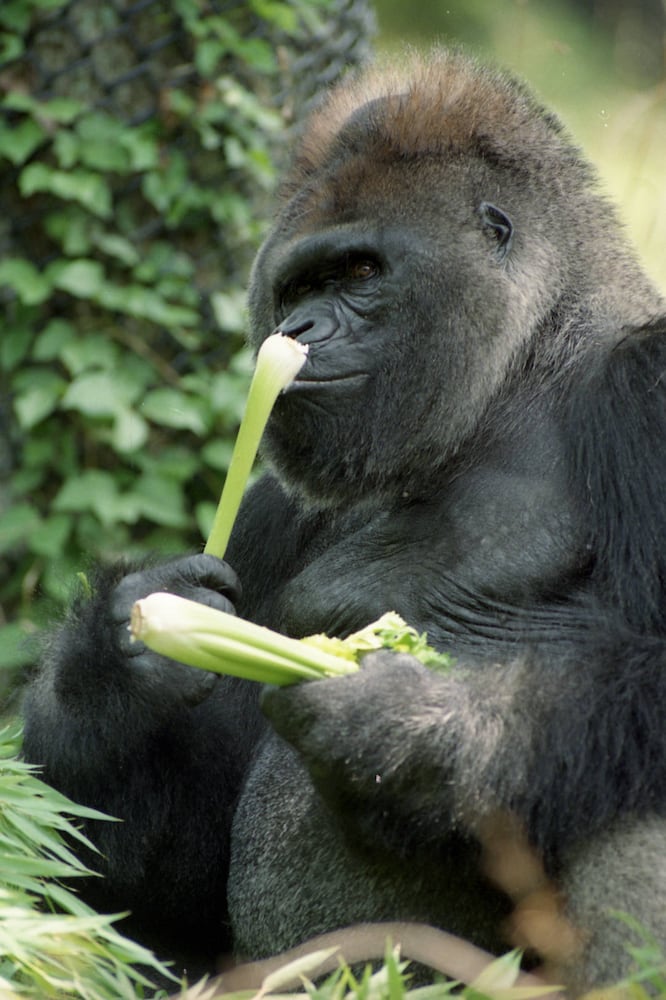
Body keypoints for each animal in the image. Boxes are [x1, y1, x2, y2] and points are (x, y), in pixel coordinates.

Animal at [20, 48, 664, 992]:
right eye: (298, 285)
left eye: (360, 273)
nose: (299, 328)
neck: (521, 371)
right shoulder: (270, 515)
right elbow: (138, 881)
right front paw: (116, 660)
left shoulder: (649, 385)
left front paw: (413, 732)